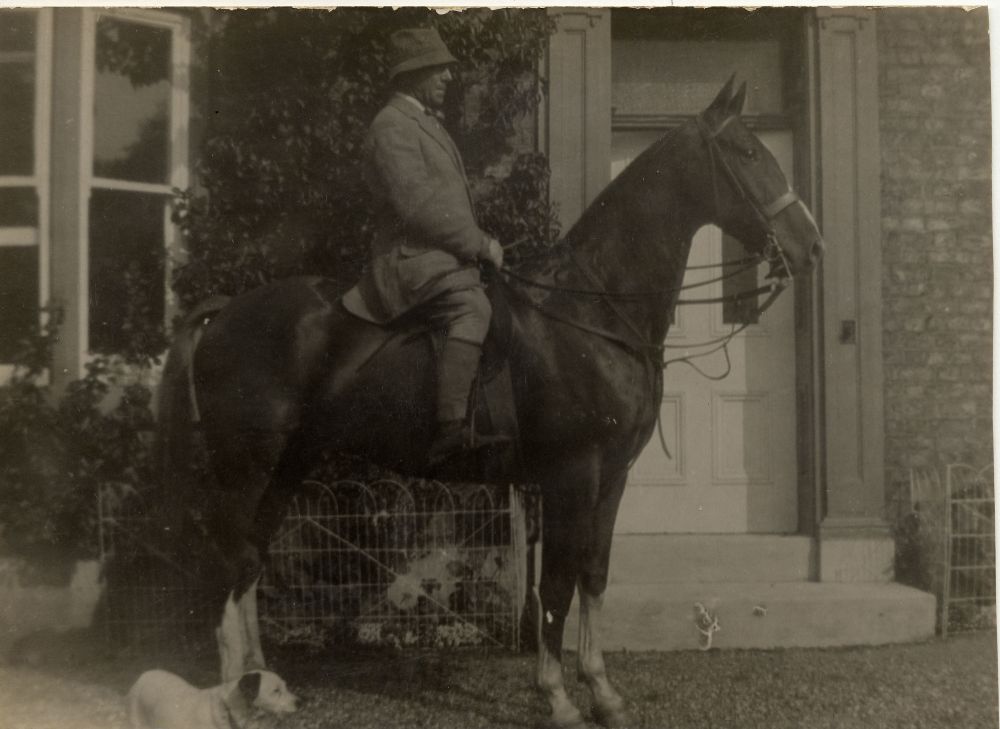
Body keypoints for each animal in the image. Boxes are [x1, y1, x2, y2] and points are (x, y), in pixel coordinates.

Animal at [160, 77, 824, 724]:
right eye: (747, 153)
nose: (811, 246)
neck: (594, 309)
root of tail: (227, 312)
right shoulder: (570, 476)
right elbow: (556, 585)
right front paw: (558, 697)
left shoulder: (612, 478)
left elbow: (595, 575)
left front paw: (602, 691)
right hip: (246, 470)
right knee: (232, 565)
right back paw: (235, 690)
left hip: (289, 467)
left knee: (250, 563)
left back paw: (263, 682)